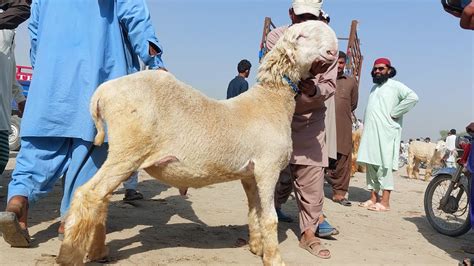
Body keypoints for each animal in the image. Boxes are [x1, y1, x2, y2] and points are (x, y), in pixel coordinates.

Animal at [56, 21, 336, 266]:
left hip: (119, 152)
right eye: (301, 36)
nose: (333, 51)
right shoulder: (268, 167)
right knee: (88, 194)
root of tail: (103, 92)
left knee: (100, 198)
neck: (271, 101)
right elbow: (269, 218)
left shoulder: (250, 174)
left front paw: (257, 248)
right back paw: (70, 255)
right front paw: (275, 258)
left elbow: (254, 211)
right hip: (128, 149)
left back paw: (97, 251)